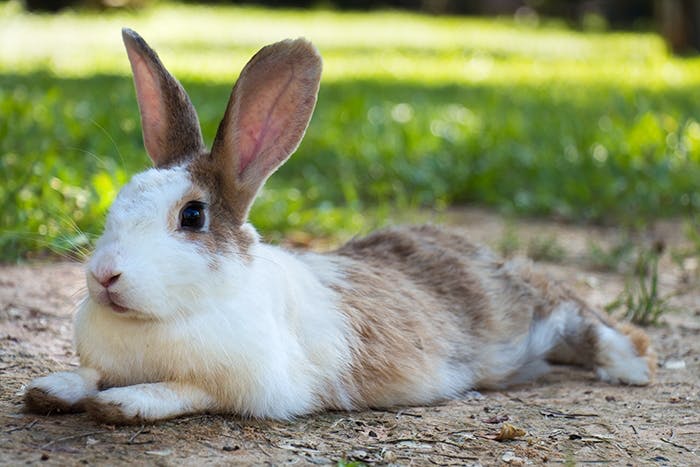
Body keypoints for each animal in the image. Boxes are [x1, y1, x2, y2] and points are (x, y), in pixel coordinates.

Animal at [23, 28, 655, 425]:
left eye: (192, 216)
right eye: (120, 201)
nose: (104, 277)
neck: (160, 318)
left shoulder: (248, 385)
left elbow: (179, 391)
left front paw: (124, 404)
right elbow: (89, 375)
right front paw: (50, 390)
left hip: (527, 317)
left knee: (579, 314)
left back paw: (631, 369)